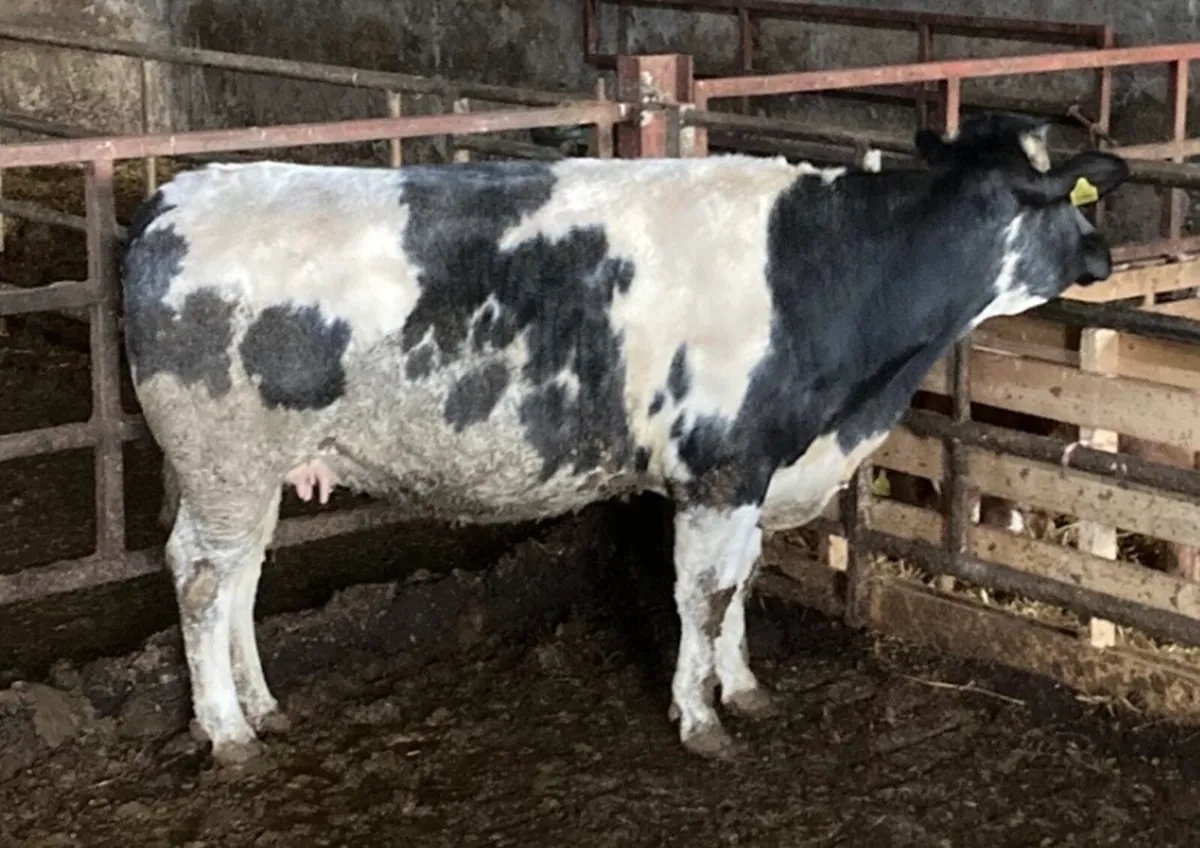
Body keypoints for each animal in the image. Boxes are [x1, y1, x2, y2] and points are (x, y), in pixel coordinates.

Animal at [121, 111, 1129, 766]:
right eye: (1068, 202)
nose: (1104, 255)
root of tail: (176, 196)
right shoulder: (722, 467)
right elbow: (706, 595)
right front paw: (700, 718)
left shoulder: (756, 468)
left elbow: (742, 584)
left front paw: (744, 689)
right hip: (222, 458)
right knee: (203, 579)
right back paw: (227, 734)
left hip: (254, 471)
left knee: (242, 574)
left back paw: (262, 706)